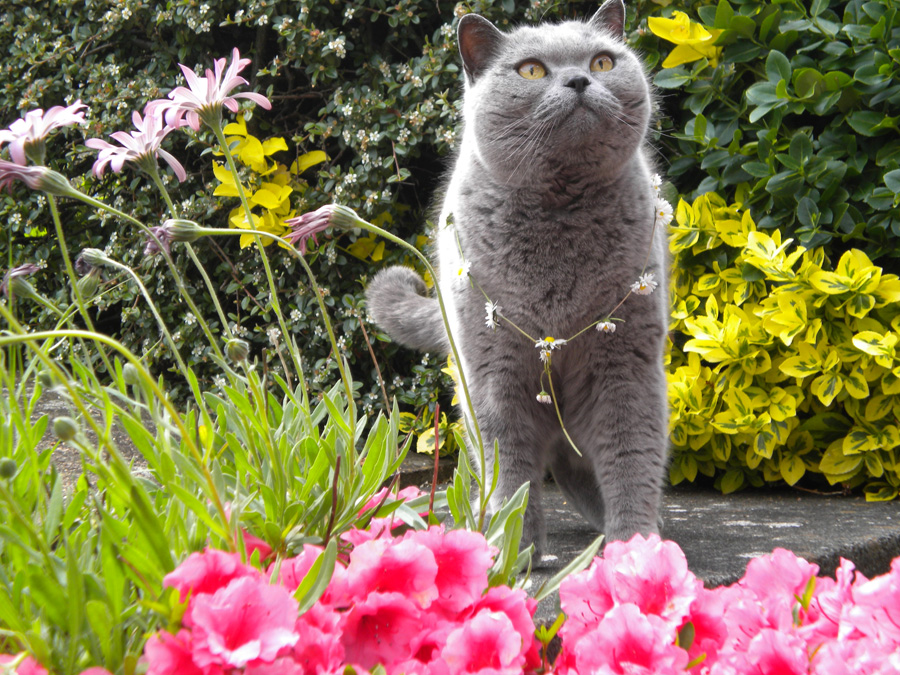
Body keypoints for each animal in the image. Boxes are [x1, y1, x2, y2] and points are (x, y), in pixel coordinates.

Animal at [366, 0, 668, 556]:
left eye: (602, 62)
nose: (578, 80)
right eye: (531, 70)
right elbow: (509, 462)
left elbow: (631, 453)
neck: (560, 215)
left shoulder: (627, 362)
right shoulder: (494, 368)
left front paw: (633, 546)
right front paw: (511, 547)